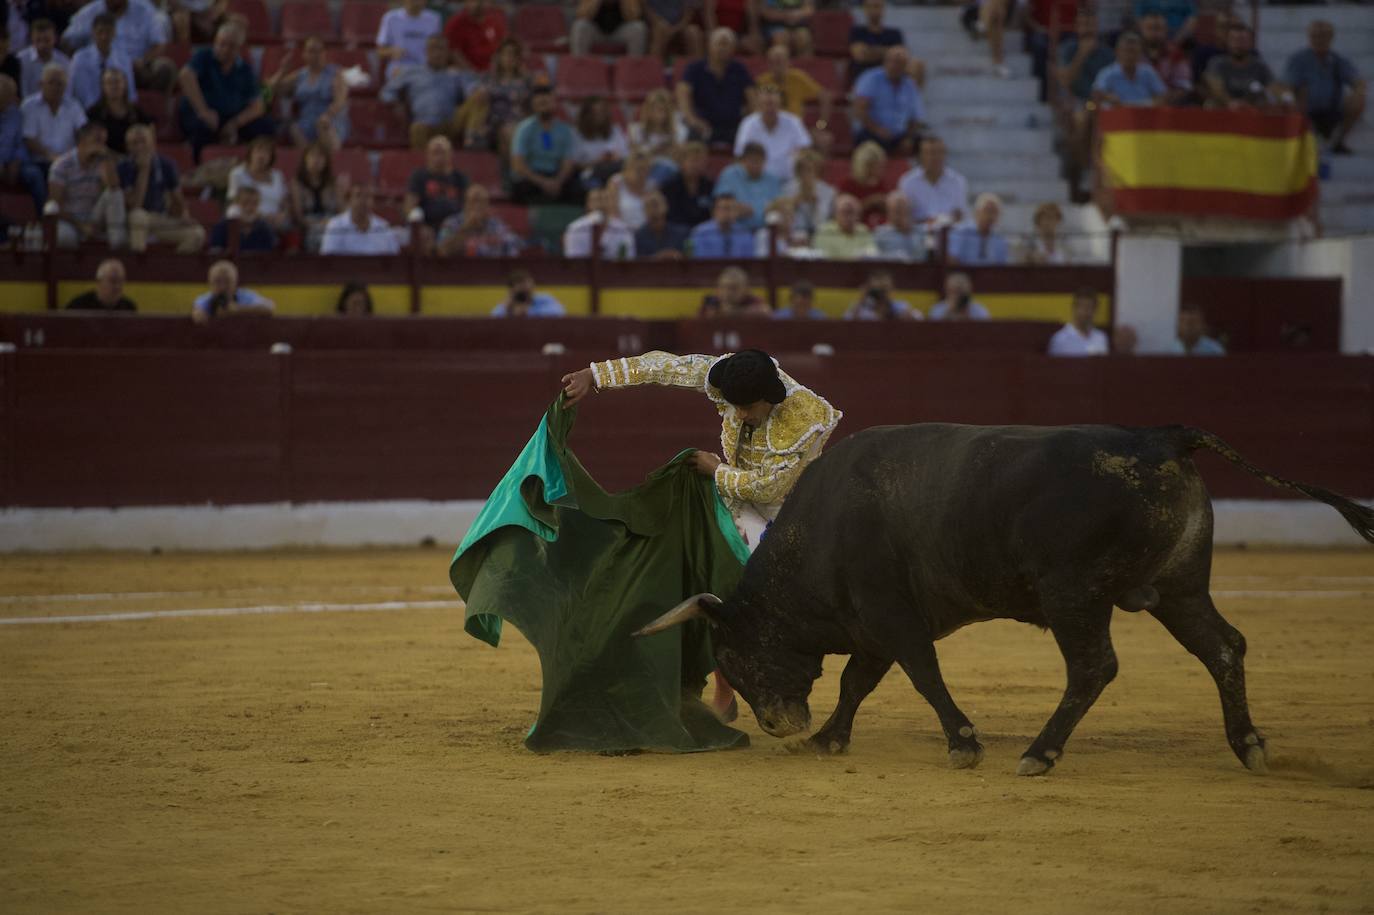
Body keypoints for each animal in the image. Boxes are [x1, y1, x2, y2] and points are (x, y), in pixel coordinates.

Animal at [634, 423, 1374, 774]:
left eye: (735, 656)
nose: (777, 727)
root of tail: (1163, 435)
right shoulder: (871, 623)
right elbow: (856, 682)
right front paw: (828, 739)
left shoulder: (890, 615)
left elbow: (921, 675)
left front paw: (964, 742)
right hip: (1180, 586)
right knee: (1223, 646)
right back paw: (1249, 745)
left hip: (1075, 594)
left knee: (1094, 667)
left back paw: (1040, 753)